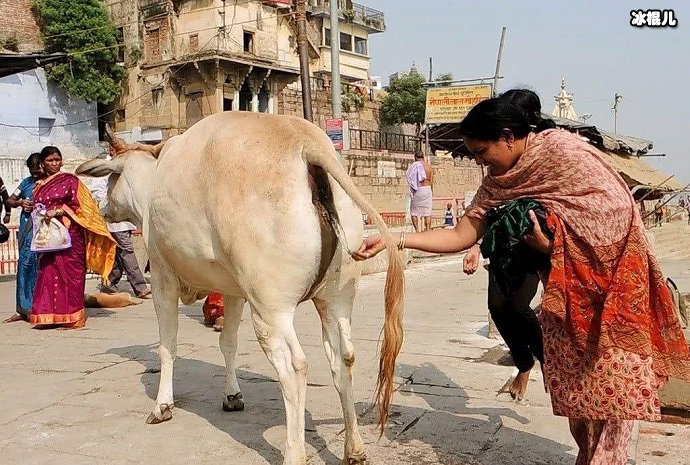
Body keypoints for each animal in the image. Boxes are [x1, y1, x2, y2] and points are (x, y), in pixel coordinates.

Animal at [76, 112, 404, 464]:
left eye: (111, 178)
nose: (101, 206)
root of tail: (305, 142)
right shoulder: (233, 290)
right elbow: (228, 342)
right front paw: (231, 395)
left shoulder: (163, 277)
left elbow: (168, 345)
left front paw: (162, 406)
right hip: (336, 298)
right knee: (344, 358)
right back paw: (354, 447)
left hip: (271, 308)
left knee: (295, 366)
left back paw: (294, 452)